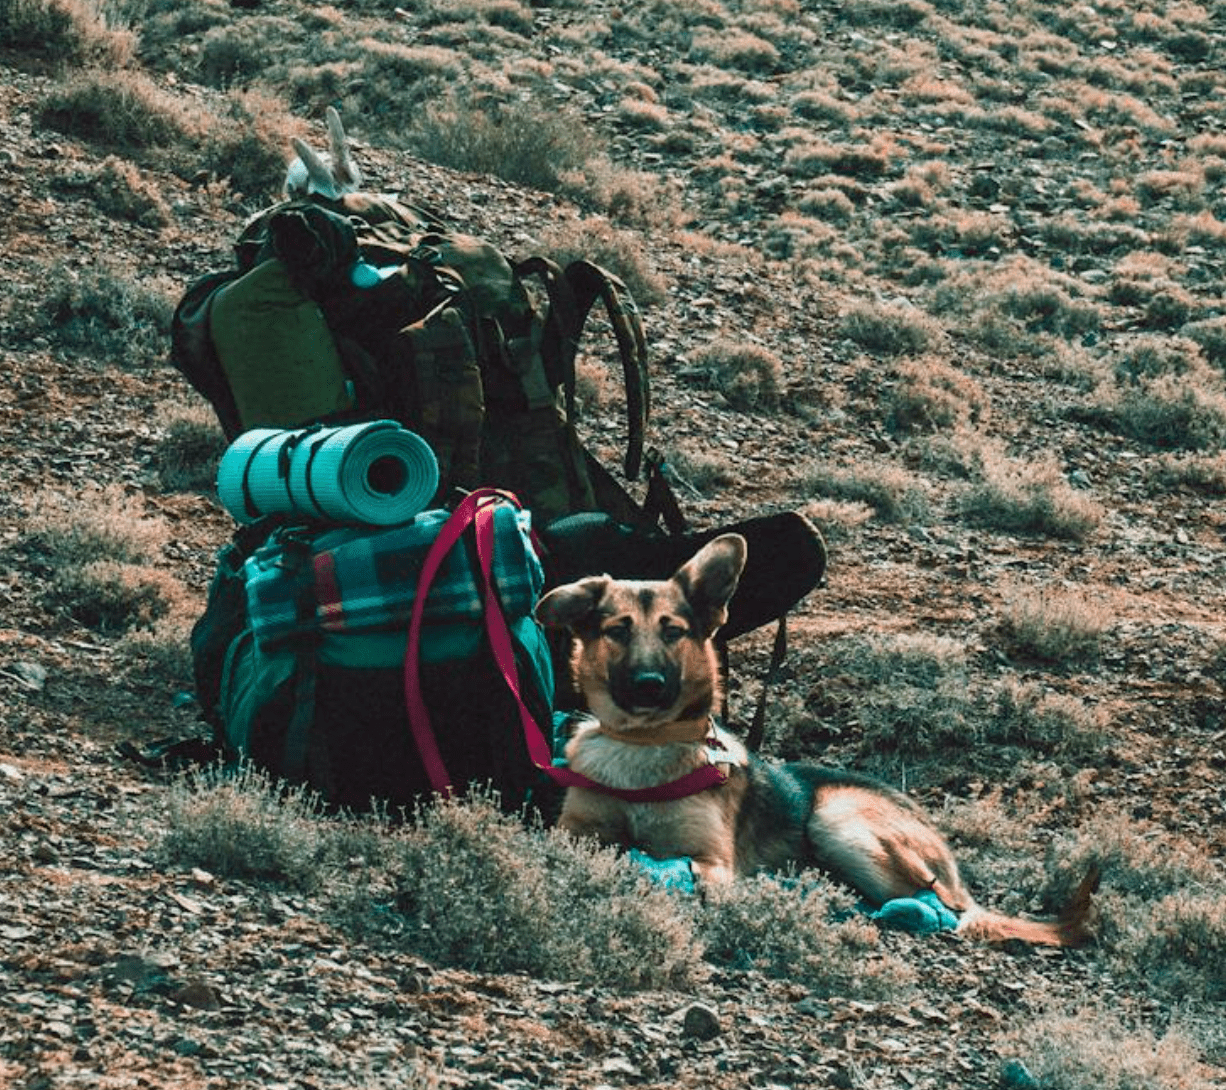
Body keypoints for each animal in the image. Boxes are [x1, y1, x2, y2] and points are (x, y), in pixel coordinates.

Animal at [541, 532, 1098, 941]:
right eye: (617, 630)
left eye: (673, 631)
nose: (649, 685)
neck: (642, 747)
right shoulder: (574, 829)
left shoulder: (712, 861)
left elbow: (684, 871)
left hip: (838, 822)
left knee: (943, 907)